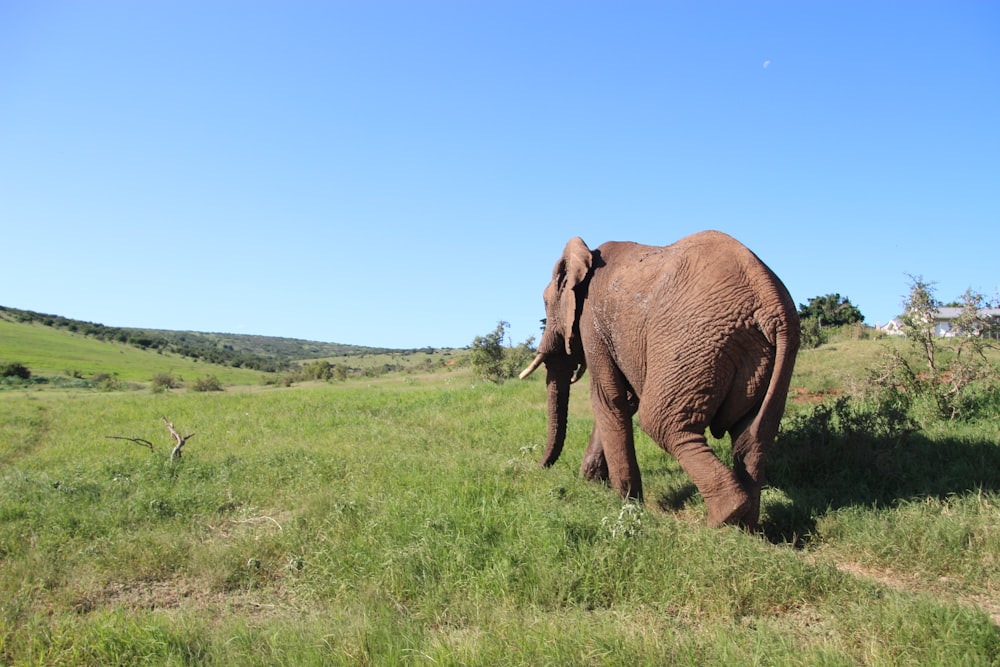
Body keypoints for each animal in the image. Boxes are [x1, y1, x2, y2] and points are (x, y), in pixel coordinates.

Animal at [520, 232, 800, 528]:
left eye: (545, 303)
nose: (538, 468)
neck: (588, 254)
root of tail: (771, 306)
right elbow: (624, 400)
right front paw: (593, 482)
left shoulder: (592, 320)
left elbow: (608, 398)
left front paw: (625, 503)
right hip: (766, 358)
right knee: (752, 437)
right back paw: (744, 528)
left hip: (695, 343)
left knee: (662, 424)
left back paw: (722, 520)